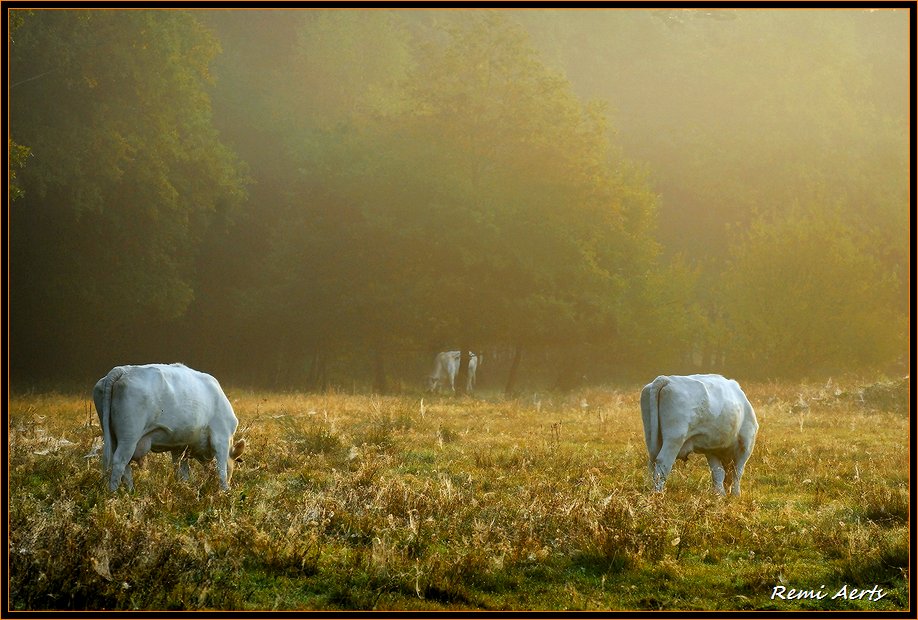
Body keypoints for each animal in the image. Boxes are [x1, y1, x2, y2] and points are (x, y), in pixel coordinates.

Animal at [91, 364, 246, 490]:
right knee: (119, 462)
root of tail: (122, 370)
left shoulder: (180, 446)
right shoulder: (221, 438)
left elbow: (182, 470)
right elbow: (222, 469)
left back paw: (130, 492)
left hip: (113, 436)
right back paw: (114, 494)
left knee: (125, 466)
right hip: (129, 437)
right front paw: (225, 490)